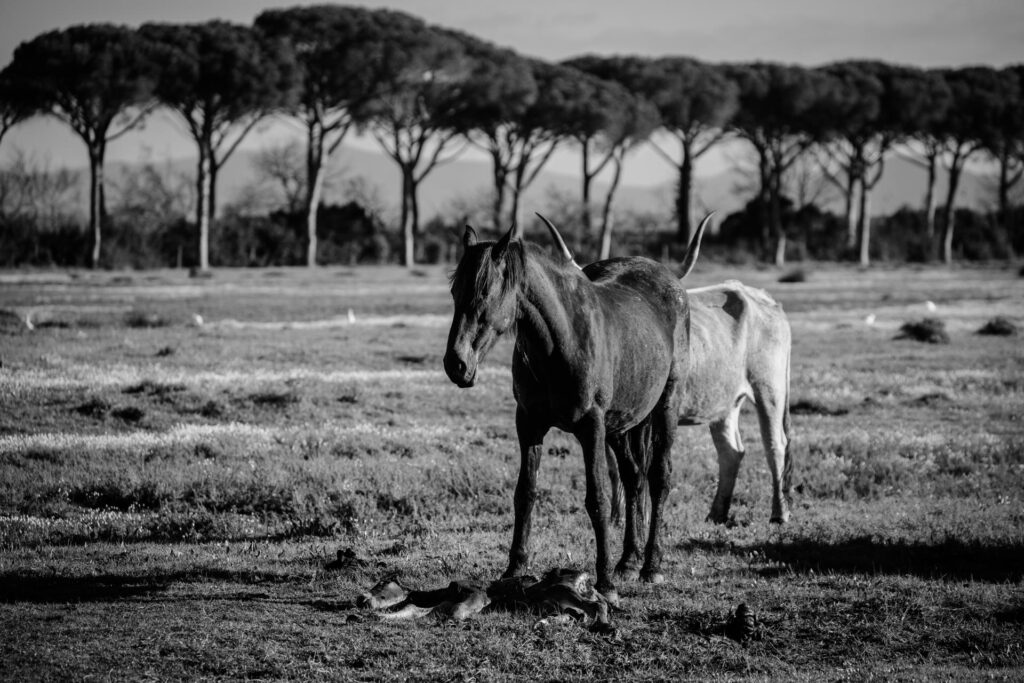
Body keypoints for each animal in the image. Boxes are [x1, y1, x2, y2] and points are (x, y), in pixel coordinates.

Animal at [440, 215, 704, 602]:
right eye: (455, 292)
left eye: (485, 292)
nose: (456, 364)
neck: (560, 342)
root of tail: (668, 278)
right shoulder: (529, 423)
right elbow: (525, 493)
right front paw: (514, 568)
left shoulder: (591, 427)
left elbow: (598, 499)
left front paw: (605, 584)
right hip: (621, 425)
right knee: (633, 477)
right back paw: (628, 561)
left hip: (666, 406)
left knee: (658, 477)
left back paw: (651, 566)